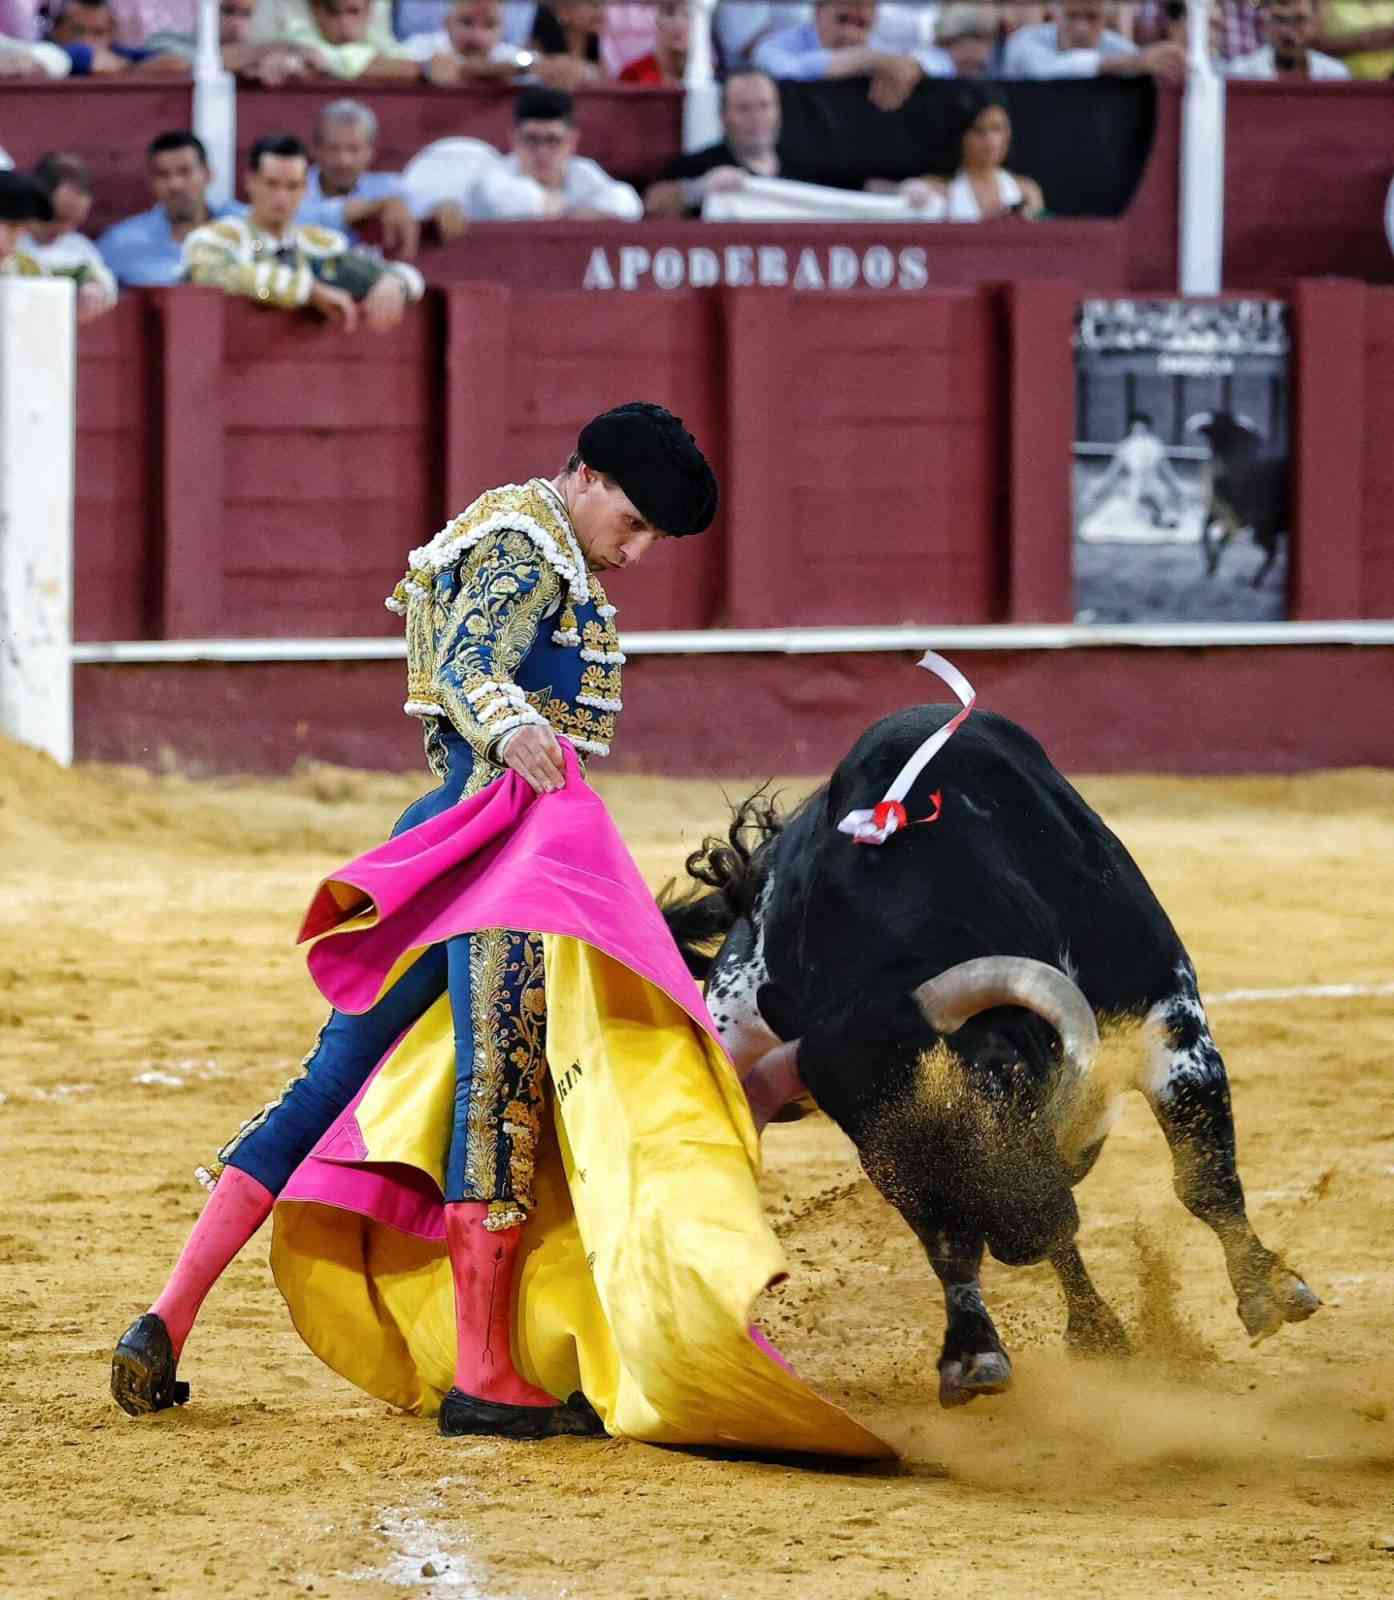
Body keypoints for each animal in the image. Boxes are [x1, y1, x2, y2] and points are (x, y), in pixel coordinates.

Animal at [663, 703, 1320, 1408]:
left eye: (1006, 1073)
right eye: (864, 1130)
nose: (1022, 1234)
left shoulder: (1169, 1021)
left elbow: (1204, 1179)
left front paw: (1269, 1292)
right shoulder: (909, 1164)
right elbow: (948, 1241)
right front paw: (972, 1353)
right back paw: (1092, 1330)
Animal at [1187, 410, 1288, 589]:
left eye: (1217, 427)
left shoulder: (1239, 518)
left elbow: (1216, 537)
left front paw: (1212, 566)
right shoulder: (1226, 515)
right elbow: (1206, 533)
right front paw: (1211, 567)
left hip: (1261, 529)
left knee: (1271, 553)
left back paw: (1254, 581)